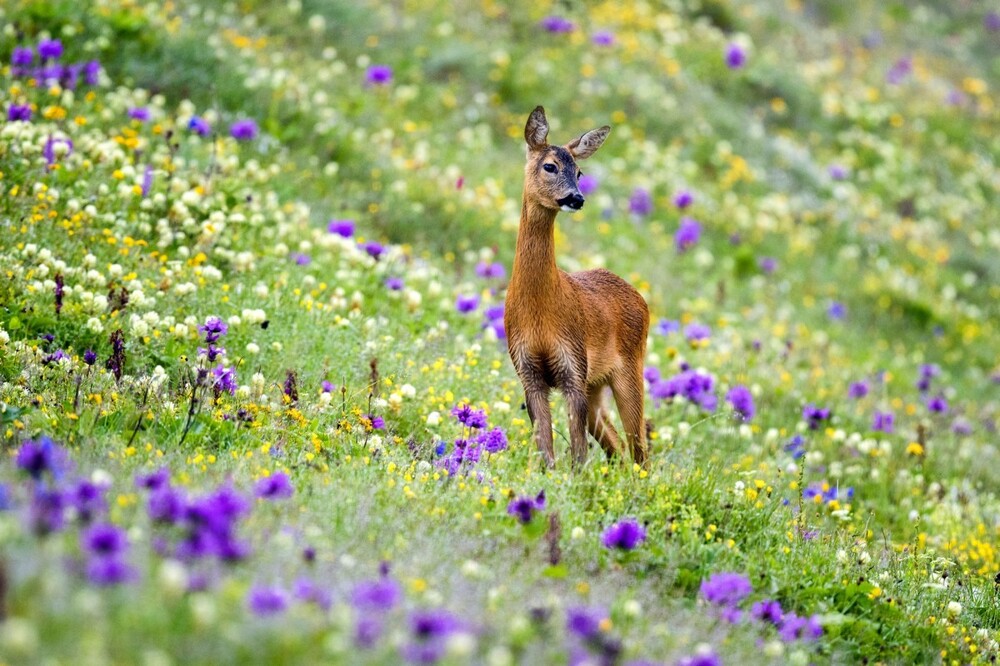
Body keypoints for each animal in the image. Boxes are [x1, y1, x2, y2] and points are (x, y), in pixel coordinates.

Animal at [504, 105, 652, 466]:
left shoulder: (573, 365)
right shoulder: (528, 370)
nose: (576, 198)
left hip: (629, 369)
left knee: (639, 451)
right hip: (595, 384)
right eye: (550, 165)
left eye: (580, 172)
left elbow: (579, 455)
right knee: (618, 448)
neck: (541, 311)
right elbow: (546, 451)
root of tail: (641, 299)